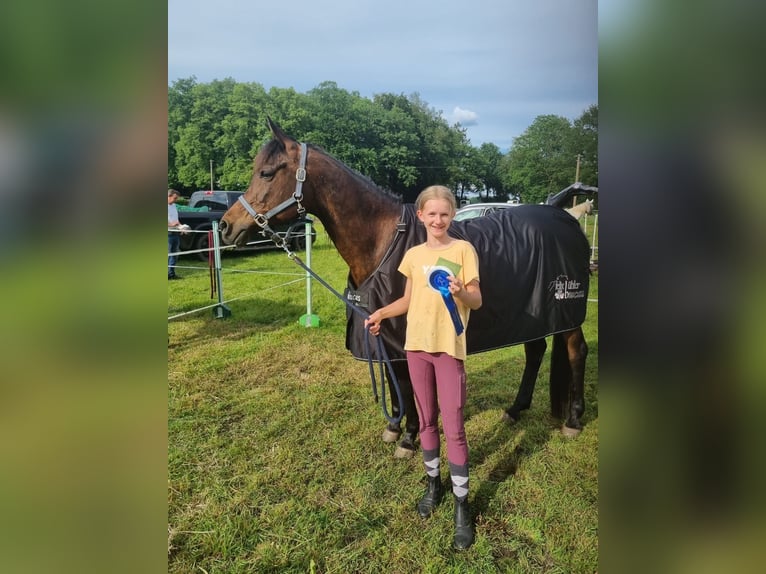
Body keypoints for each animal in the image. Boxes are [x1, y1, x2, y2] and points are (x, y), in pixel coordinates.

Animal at [219, 119, 591, 458]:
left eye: (267, 173)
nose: (225, 226)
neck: (382, 240)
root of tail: (567, 218)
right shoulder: (378, 328)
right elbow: (392, 381)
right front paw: (393, 427)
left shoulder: (402, 333)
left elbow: (407, 384)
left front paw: (410, 438)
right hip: (532, 316)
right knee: (535, 351)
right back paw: (514, 410)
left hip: (566, 314)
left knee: (576, 351)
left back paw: (573, 421)